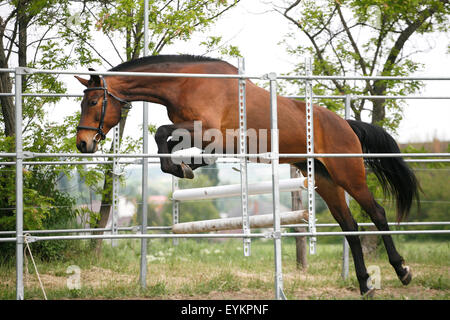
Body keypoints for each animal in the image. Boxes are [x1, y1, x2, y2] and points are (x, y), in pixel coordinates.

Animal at [74, 53, 418, 296]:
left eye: (93, 101)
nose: (83, 144)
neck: (186, 83)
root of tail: (345, 124)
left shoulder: (209, 133)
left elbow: (162, 133)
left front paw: (183, 167)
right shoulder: (203, 136)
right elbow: (169, 142)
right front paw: (183, 167)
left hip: (349, 175)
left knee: (377, 212)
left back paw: (402, 271)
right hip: (326, 182)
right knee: (350, 227)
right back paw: (365, 285)